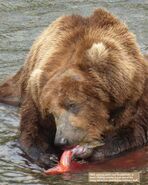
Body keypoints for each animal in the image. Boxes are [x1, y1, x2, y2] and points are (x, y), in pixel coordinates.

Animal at [0, 9, 148, 166]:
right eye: (52, 113)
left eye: (72, 104)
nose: (62, 141)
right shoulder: (34, 96)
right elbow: (31, 130)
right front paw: (48, 157)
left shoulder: (133, 95)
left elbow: (132, 131)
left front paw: (96, 151)